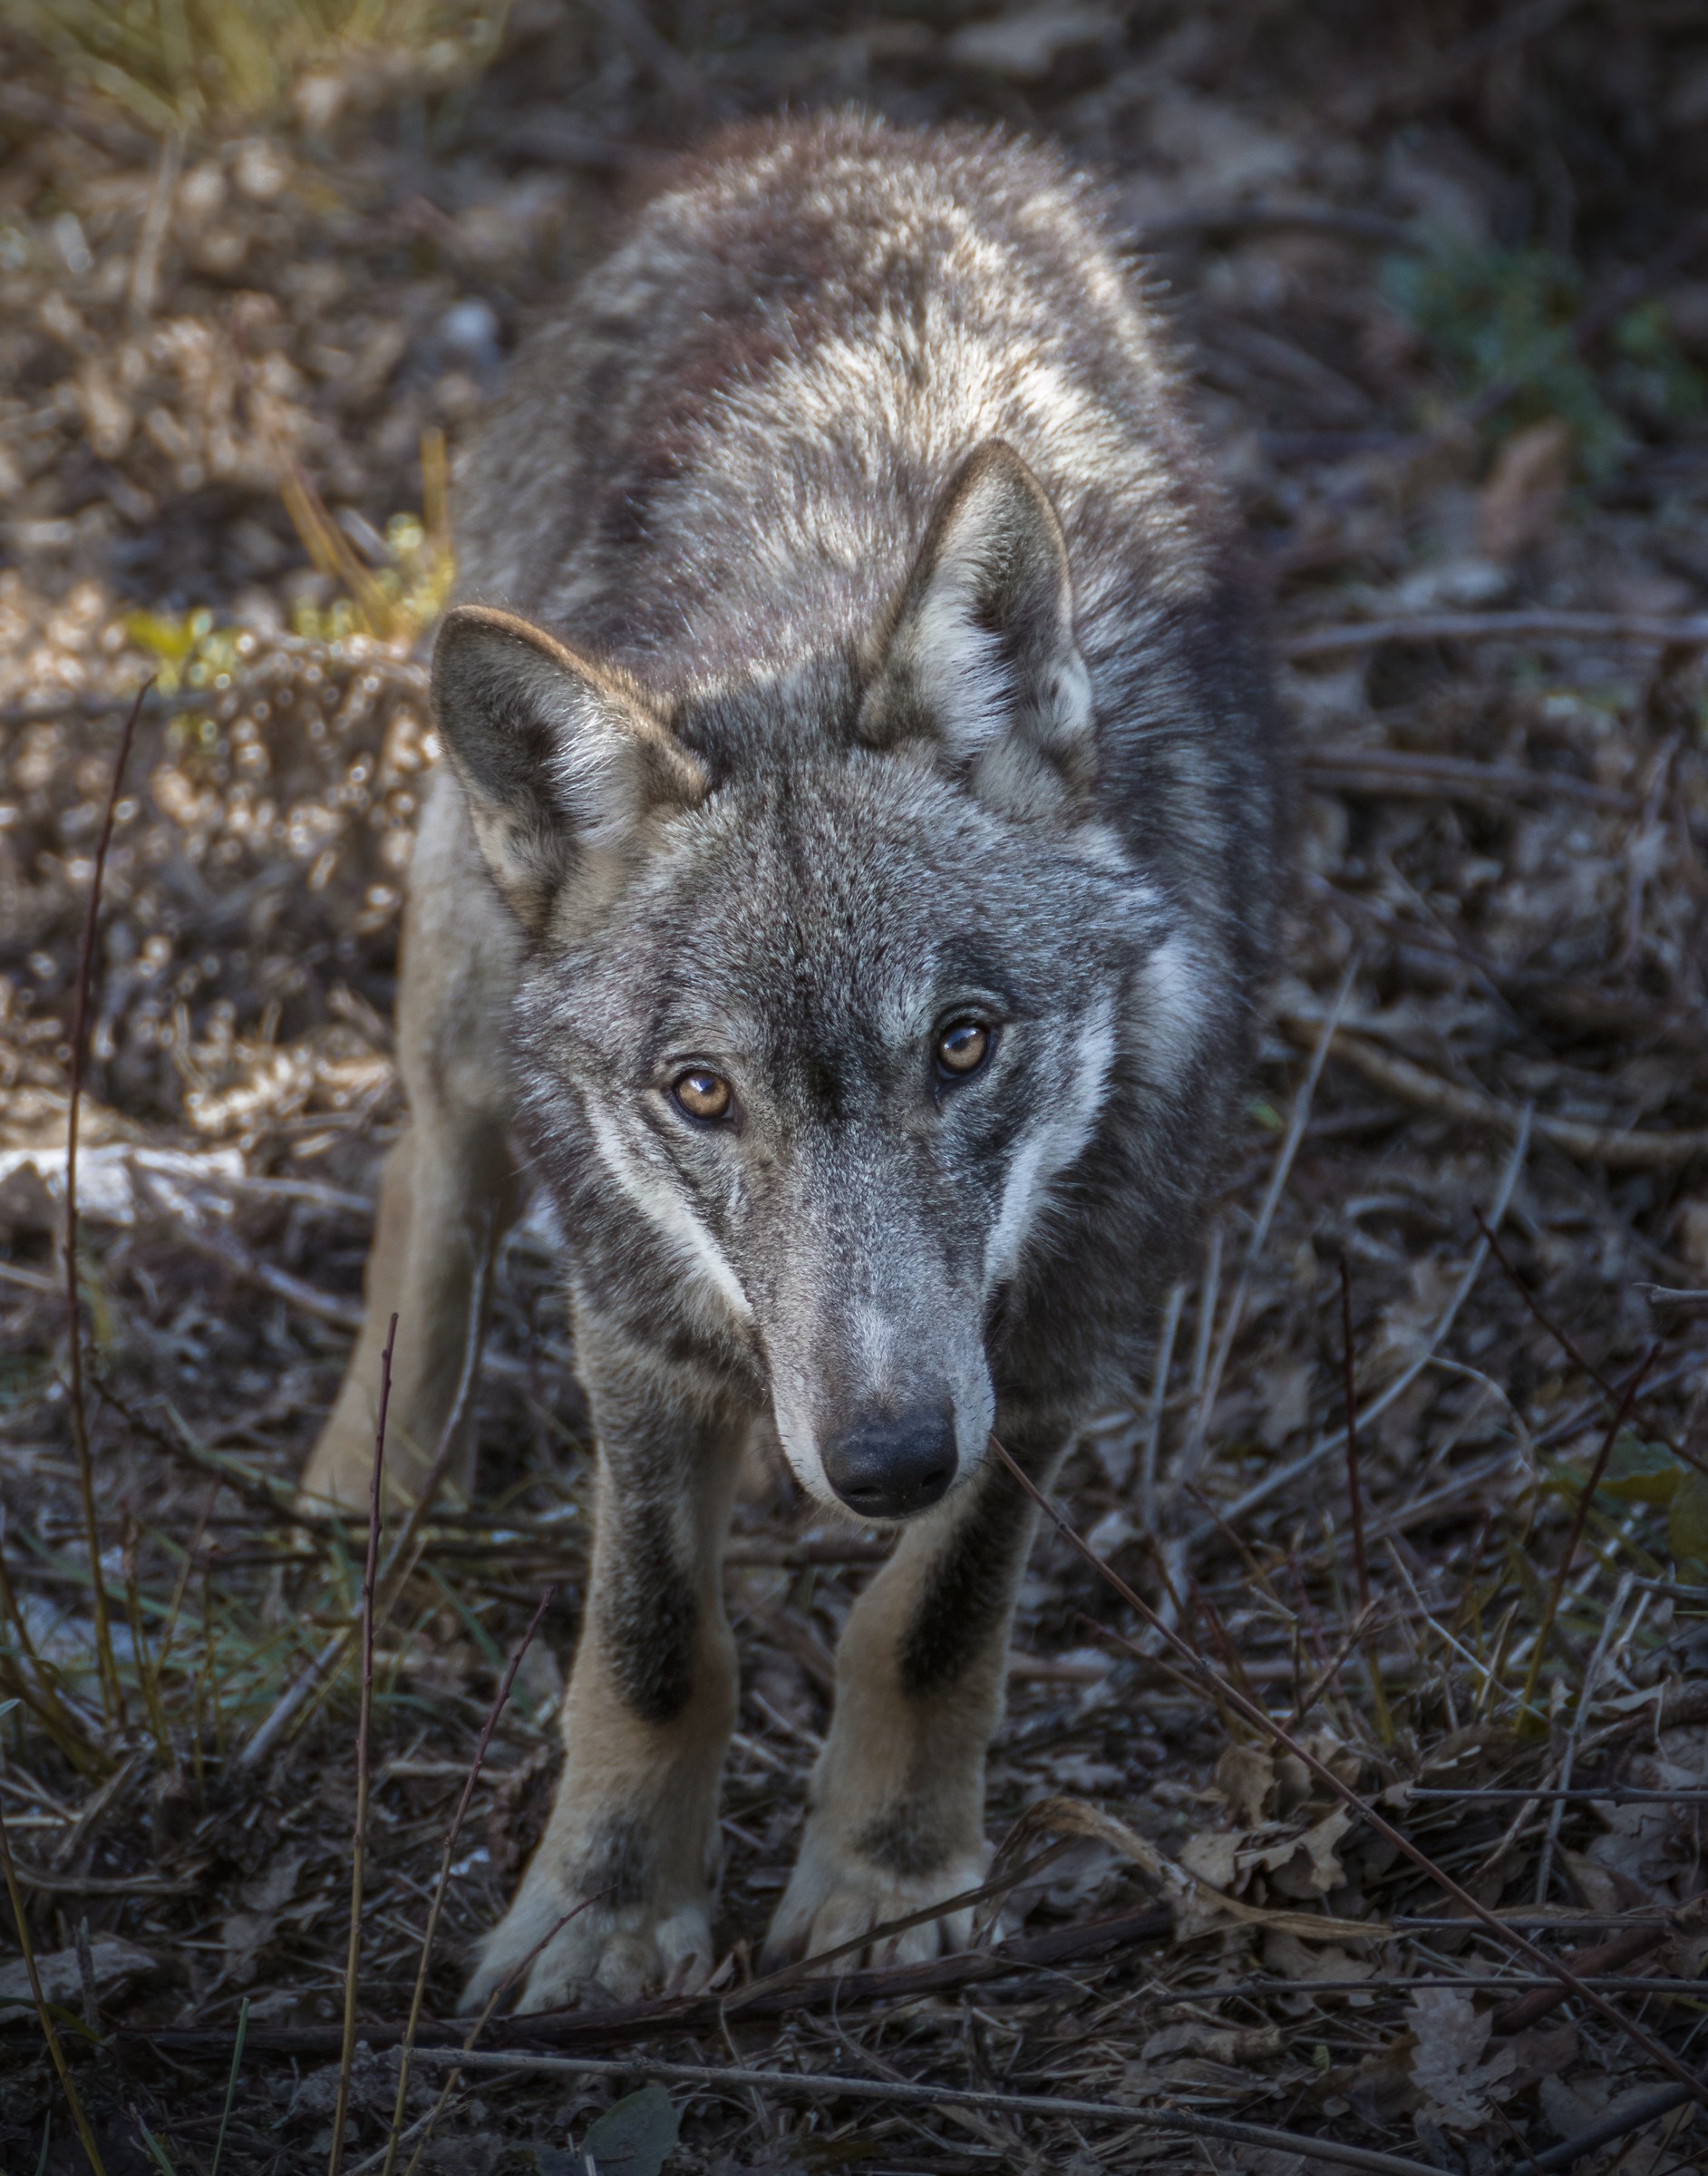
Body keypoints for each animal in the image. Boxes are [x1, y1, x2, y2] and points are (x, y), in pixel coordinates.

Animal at [299, 114, 1288, 2011]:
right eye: (703, 1093)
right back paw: (361, 1483)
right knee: (431, 1167)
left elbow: (926, 1625)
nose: (885, 1454)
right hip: (465, 961)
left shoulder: (1049, 1346)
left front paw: (892, 1882)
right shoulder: (633, 1323)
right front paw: (604, 1914)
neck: (803, 610)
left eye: (963, 1045)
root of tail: (842, 137)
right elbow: (652, 1644)